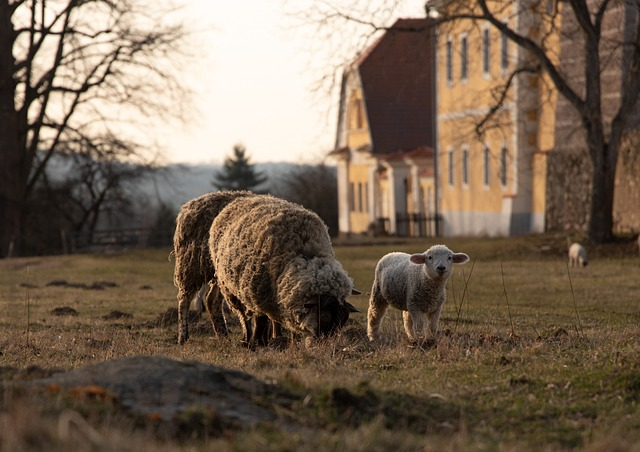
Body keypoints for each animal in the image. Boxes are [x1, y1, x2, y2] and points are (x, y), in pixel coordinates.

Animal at [175, 189, 258, 344]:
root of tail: (188, 206)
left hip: (219, 274)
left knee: (211, 301)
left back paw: (224, 335)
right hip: (192, 266)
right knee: (184, 300)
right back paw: (183, 337)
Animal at [209, 194, 360, 346]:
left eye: (343, 320)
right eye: (323, 315)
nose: (324, 343)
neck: (304, 256)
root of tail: (242, 198)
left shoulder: (285, 298)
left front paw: (293, 342)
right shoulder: (257, 295)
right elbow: (260, 320)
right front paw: (256, 343)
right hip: (231, 289)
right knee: (243, 316)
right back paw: (247, 338)